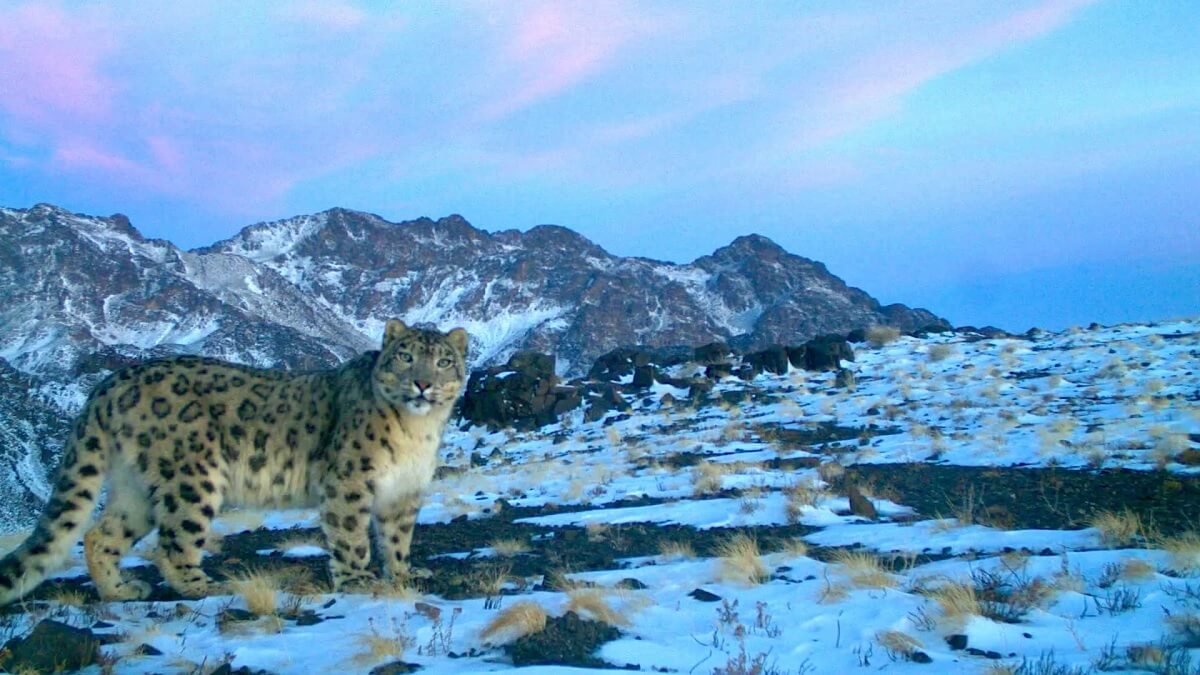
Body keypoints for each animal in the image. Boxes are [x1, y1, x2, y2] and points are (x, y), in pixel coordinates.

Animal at [0, 319, 468, 604]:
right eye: (406, 357)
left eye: (444, 361)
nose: (422, 383)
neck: (418, 432)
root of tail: (110, 382)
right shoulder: (349, 483)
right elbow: (352, 536)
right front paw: (357, 581)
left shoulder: (404, 491)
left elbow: (397, 537)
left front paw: (404, 574)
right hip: (191, 477)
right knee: (174, 541)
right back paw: (203, 586)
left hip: (136, 488)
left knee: (100, 534)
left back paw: (120, 591)